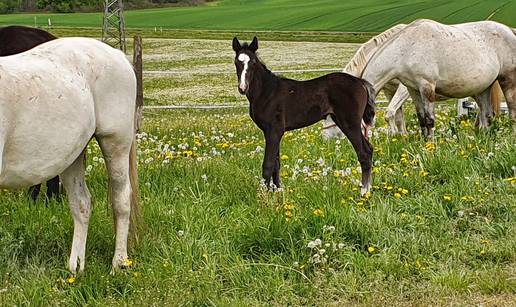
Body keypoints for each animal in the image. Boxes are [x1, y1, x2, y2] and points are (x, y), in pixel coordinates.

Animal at [0, 37, 140, 274]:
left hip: (115, 143)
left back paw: (118, 262)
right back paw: (76, 266)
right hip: (71, 156)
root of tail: (117, 55)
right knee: (81, 203)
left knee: (121, 201)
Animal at [234, 36, 374, 195]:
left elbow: (268, 164)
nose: (242, 88)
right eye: (236, 62)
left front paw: (264, 195)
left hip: (350, 123)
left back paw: (363, 193)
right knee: (369, 149)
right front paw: (277, 192)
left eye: (253, 62)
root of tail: (361, 82)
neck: (266, 91)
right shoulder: (273, 132)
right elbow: (276, 164)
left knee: (364, 153)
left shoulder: (274, 131)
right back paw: (368, 190)